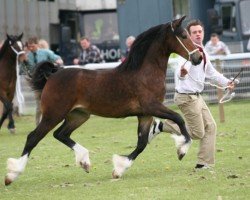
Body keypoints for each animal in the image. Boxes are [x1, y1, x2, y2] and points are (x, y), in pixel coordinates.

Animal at [4, 16, 202, 186]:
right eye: (184, 36)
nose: (198, 58)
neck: (144, 73)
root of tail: (52, 75)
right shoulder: (153, 107)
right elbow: (179, 119)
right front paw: (182, 149)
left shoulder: (145, 114)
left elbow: (141, 144)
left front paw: (119, 169)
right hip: (53, 114)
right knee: (33, 137)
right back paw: (12, 175)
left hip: (79, 115)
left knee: (60, 134)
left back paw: (84, 161)